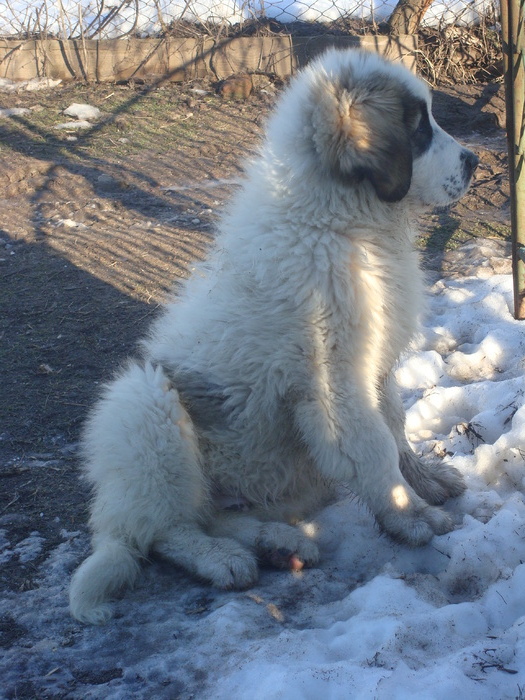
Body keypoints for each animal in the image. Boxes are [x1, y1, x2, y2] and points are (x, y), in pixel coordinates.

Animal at [68, 47, 474, 624]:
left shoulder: (375, 365)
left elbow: (395, 428)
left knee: (209, 515)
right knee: (164, 530)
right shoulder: (334, 379)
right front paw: (409, 516)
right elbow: (374, 448)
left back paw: (277, 542)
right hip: (143, 403)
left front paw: (425, 482)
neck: (343, 224)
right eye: (418, 128)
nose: (474, 163)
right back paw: (221, 557)